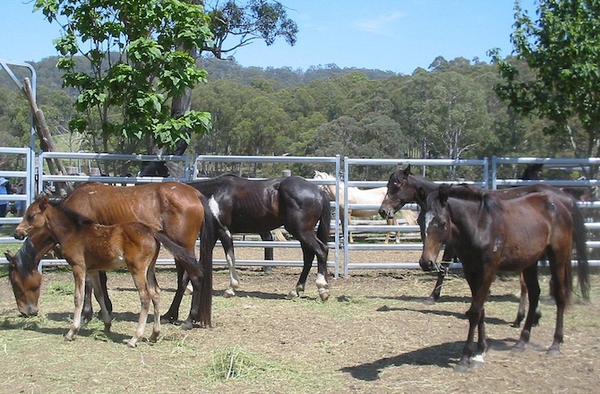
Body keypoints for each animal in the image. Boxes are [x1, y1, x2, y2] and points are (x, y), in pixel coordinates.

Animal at [11, 182, 216, 330]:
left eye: (15, 283)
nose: (26, 312)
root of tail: (195, 194)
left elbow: (88, 284)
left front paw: (86, 314)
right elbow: (101, 281)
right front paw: (106, 309)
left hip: (183, 249)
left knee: (195, 277)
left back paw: (189, 320)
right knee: (183, 280)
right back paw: (169, 315)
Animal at [186, 174, 330, 300]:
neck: (214, 193)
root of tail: (318, 191)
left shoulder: (223, 231)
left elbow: (230, 258)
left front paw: (231, 288)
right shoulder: (216, 232)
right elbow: (201, 259)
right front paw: (189, 288)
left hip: (302, 232)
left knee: (321, 251)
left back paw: (322, 289)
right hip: (303, 234)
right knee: (309, 257)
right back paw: (295, 291)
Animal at [378, 165, 588, 328]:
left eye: (397, 185)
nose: (383, 211)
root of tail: (565, 197)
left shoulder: (453, 245)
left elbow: (444, 267)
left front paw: (433, 296)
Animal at [418, 186, 592, 370]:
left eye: (442, 223)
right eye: (420, 221)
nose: (426, 262)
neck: (480, 225)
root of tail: (562, 204)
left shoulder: (488, 270)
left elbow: (475, 311)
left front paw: (466, 358)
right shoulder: (471, 270)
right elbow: (480, 310)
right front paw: (480, 350)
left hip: (558, 257)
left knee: (559, 296)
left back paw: (555, 344)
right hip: (530, 262)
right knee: (534, 294)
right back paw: (521, 342)